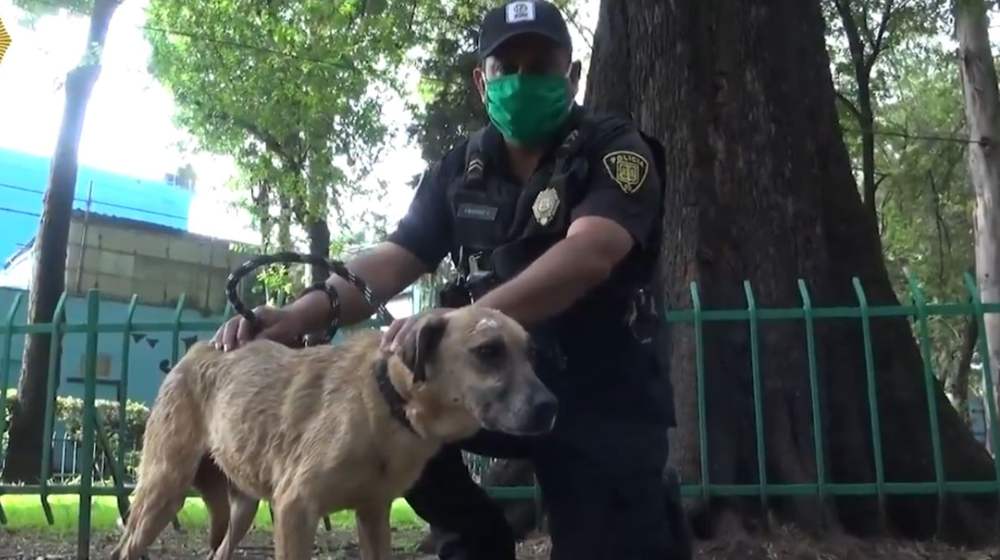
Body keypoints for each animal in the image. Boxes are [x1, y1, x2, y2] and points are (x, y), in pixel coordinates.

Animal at [115, 306, 564, 560]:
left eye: (532, 354)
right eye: (488, 351)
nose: (551, 408)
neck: (385, 400)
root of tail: (197, 350)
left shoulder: (374, 514)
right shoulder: (296, 509)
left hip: (241, 507)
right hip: (163, 489)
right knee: (127, 549)